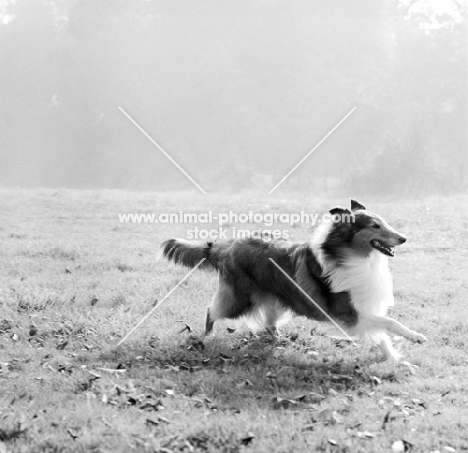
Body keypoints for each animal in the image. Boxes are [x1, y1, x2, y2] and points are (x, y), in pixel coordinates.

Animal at [159, 199, 426, 360]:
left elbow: (383, 334)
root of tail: (226, 245)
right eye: (374, 225)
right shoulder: (350, 314)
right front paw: (416, 337)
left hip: (275, 299)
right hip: (240, 300)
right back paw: (206, 337)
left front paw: (395, 360)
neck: (353, 256)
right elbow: (390, 323)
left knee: (269, 324)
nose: (403, 238)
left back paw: (279, 341)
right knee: (211, 310)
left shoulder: (363, 310)